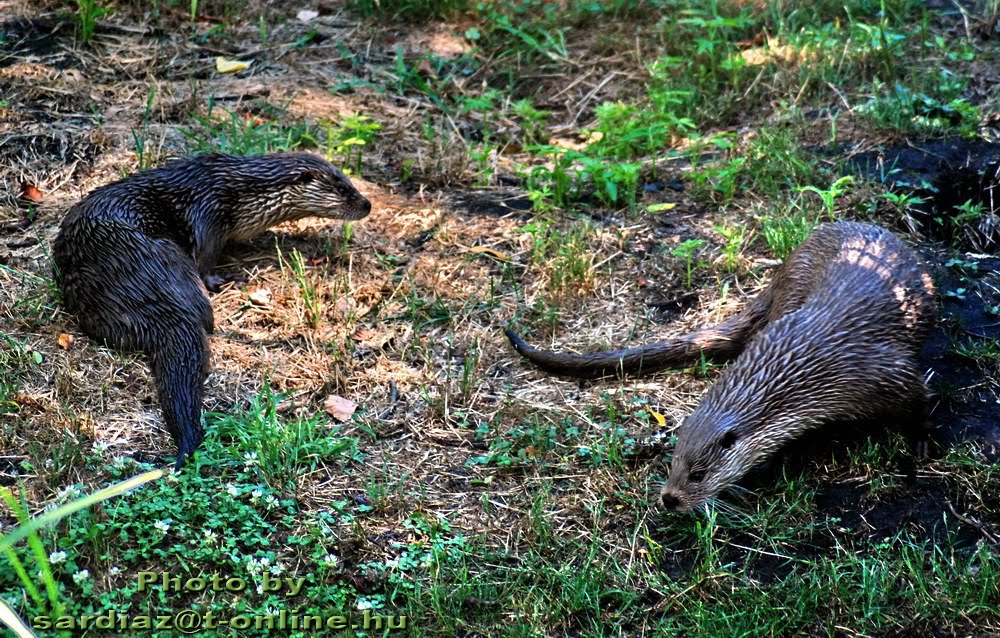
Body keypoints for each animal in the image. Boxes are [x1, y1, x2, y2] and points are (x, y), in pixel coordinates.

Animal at [52, 152, 372, 468]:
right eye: (343, 189)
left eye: (349, 182)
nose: (366, 204)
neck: (240, 194)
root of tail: (146, 295)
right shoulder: (209, 216)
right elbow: (205, 263)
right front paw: (228, 278)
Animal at [508, 222, 936, 512]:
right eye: (673, 462)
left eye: (697, 474)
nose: (669, 499)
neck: (812, 363)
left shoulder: (883, 373)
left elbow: (919, 403)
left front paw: (921, 443)